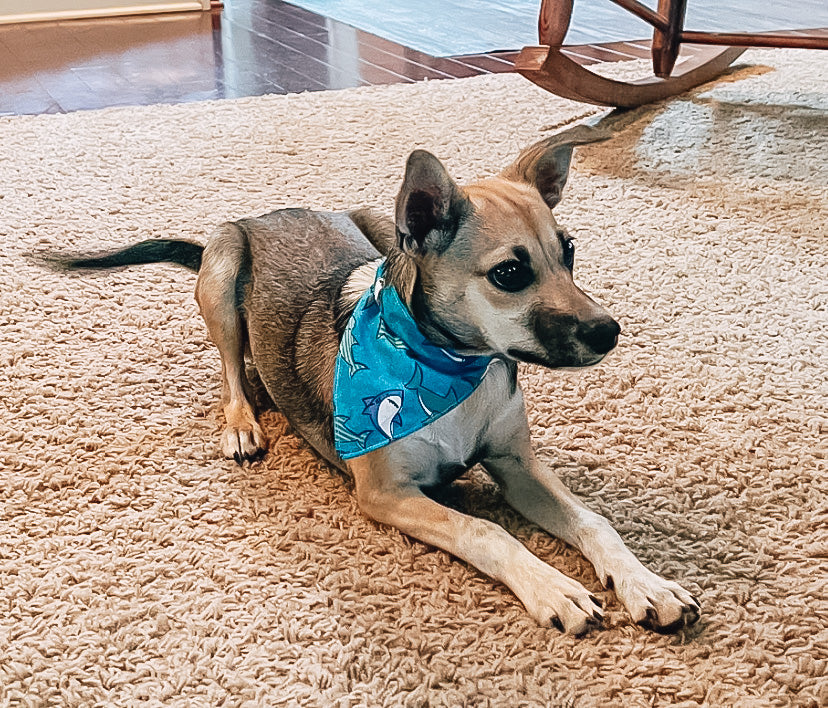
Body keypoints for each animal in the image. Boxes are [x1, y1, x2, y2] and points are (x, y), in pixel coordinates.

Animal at [45, 121, 700, 636]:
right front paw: (554, 588)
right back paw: (243, 423)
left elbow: (594, 522)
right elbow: (486, 531)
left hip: (379, 229)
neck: (450, 366)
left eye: (569, 252)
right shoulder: (386, 493)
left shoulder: (516, 464)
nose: (609, 331)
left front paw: (647, 584)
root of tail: (273, 213)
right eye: (510, 273)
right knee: (231, 368)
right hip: (223, 270)